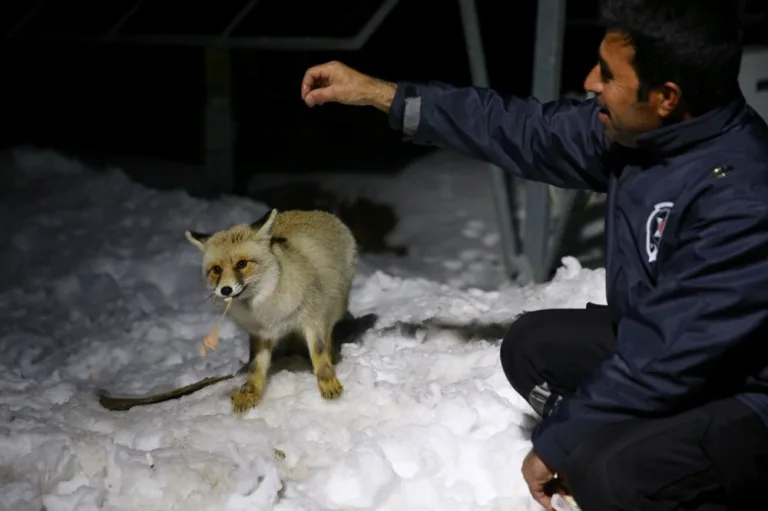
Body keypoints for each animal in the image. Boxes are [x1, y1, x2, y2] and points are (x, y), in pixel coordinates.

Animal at [184, 206, 358, 414]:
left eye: (242, 264)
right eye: (216, 269)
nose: (225, 290)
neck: (266, 308)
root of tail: (314, 211)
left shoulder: (312, 318)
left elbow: (319, 353)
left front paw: (327, 380)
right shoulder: (260, 332)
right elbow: (255, 367)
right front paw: (250, 393)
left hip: (334, 307)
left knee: (328, 334)